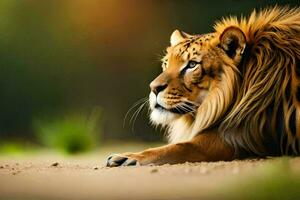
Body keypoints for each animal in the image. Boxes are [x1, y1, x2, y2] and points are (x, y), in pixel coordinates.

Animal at [106, 6, 298, 166]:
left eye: (191, 65)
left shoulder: (241, 136)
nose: (153, 88)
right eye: (166, 64)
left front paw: (128, 157)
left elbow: (180, 146)